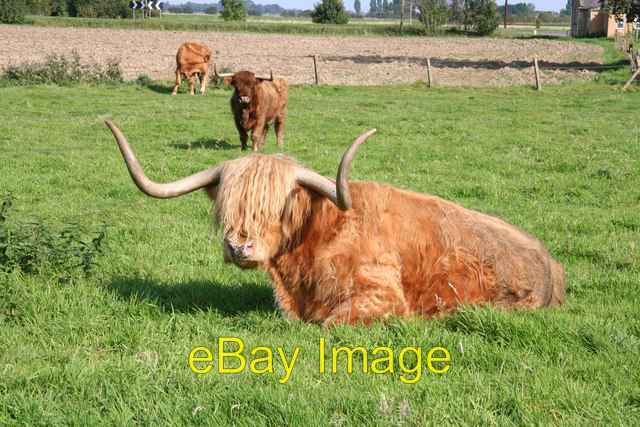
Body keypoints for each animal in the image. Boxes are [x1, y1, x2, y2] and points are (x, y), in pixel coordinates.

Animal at [104, 120, 566, 326]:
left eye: (277, 207)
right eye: (230, 204)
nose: (238, 247)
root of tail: (552, 264)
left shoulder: (381, 295)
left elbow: (329, 322)